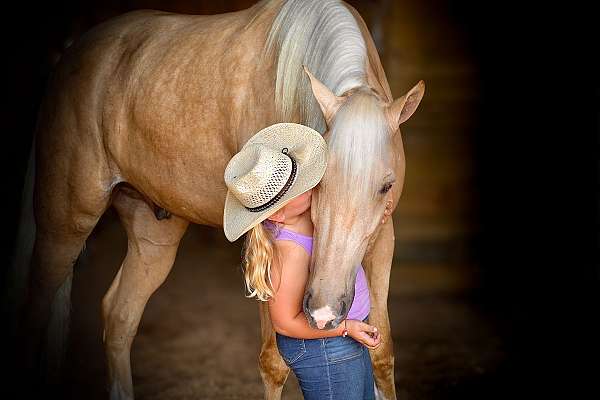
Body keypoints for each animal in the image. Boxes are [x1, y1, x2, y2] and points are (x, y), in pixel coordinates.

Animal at [12, 0, 422, 398]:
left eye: (385, 186)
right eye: (319, 182)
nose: (322, 312)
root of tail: (70, 56)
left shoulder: (381, 241)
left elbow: (381, 354)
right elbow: (273, 364)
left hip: (153, 237)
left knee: (118, 317)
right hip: (65, 225)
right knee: (35, 310)